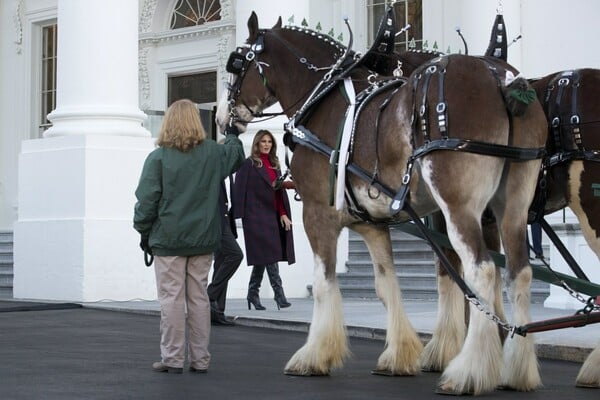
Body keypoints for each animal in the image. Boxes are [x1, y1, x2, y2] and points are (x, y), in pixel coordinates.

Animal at [217, 12, 548, 394]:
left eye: (236, 62)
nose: (221, 118)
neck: (323, 100)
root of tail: (501, 79)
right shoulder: (371, 224)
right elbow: (386, 285)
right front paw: (398, 355)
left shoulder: (317, 213)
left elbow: (324, 282)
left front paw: (315, 354)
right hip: (512, 205)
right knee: (518, 272)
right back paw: (517, 369)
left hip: (459, 206)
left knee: (482, 271)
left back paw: (470, 371)